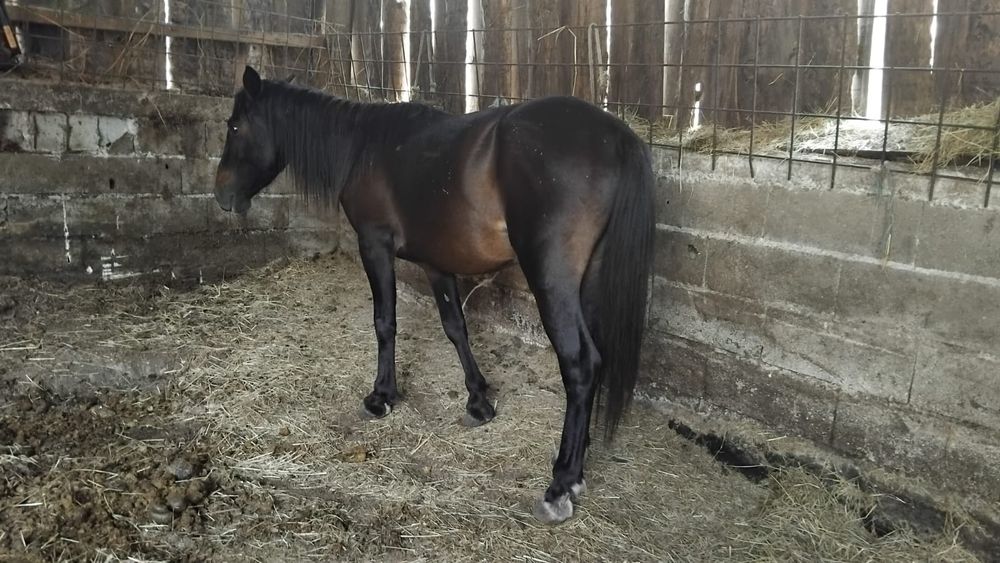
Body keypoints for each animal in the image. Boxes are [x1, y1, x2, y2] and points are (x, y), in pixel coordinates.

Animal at [214, 65, 655, 524]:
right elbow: (455, 327)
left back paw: (562, 482)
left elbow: (385, 322)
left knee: (581, 365)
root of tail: (618, 136)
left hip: (551, 281)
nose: (222, 195)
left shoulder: (374, 245)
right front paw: (479, 400)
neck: (364, 148)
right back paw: (578, 461)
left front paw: (382, 396)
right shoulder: (435, 263)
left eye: (235, 126)